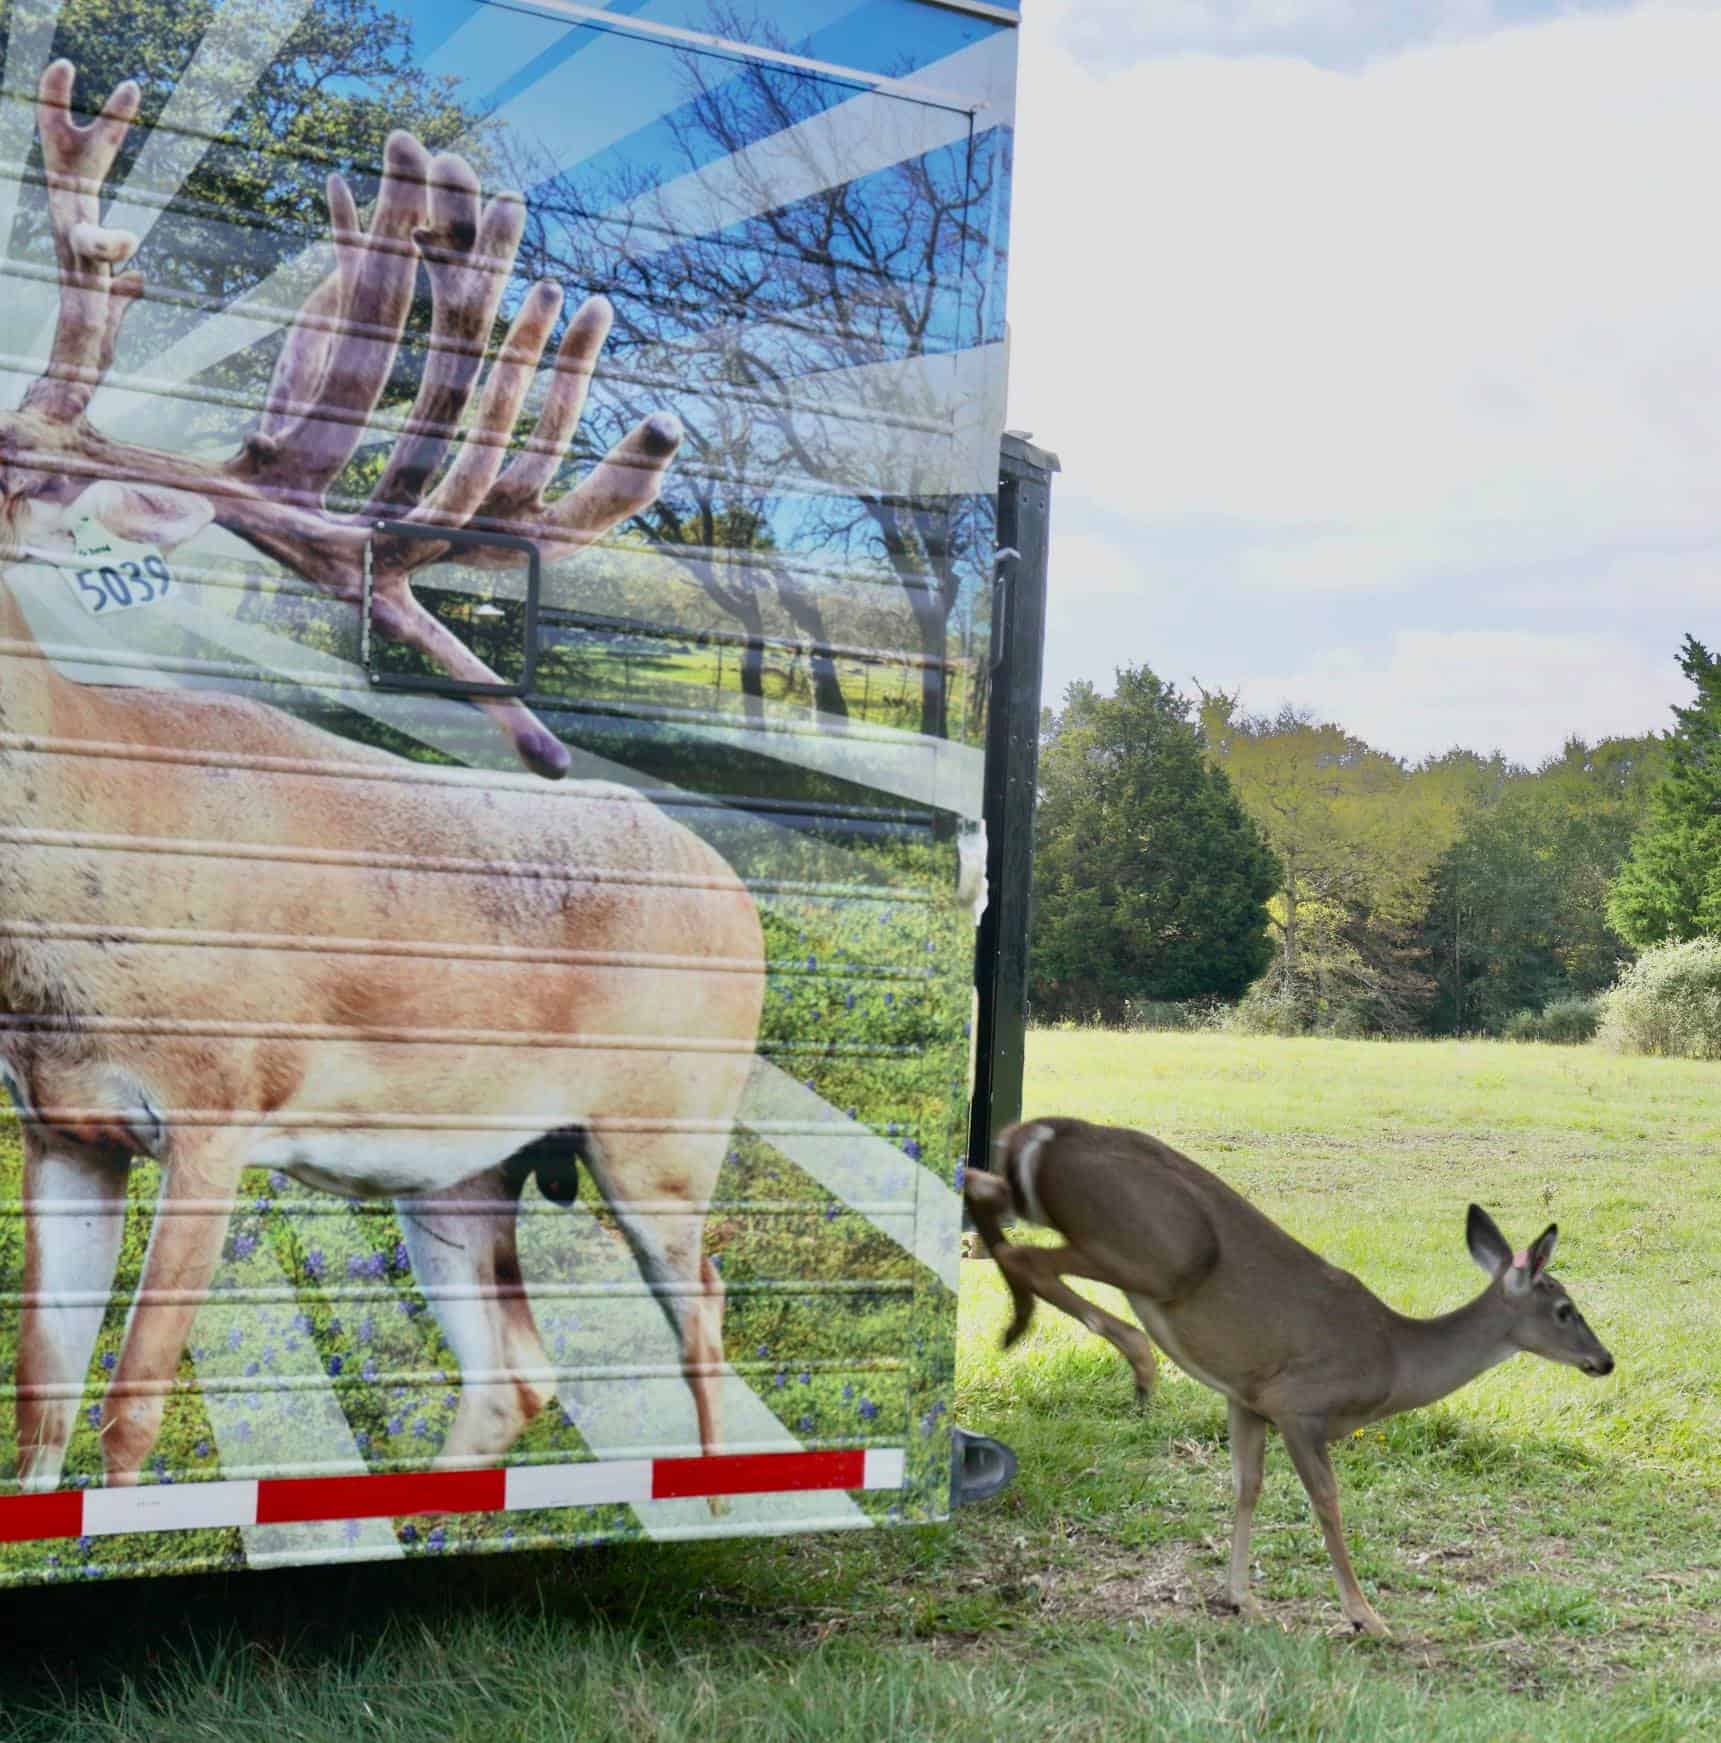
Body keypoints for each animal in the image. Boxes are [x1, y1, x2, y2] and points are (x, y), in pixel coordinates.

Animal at [1, 62, 765, 1495]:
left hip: (664, 1130)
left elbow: (130, 1405)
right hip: (465, 1164)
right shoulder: (58, 1123)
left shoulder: (220, 1103)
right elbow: (40, 1400)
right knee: (516, 1371)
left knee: (704, 1315)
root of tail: (734, 890)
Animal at [965, 1117, 1616, 1638]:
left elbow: (1245, 1485)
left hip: (1069, 1214)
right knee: (1024, 1255)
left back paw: (1026, 1324)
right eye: (1565, 1309)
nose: (1604, 1360)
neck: (1395, 1359)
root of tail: (1048, 1131)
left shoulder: (1247, 1398)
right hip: (1160, 1250)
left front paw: (1240, 1598)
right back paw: (1127, 1354)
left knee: (981, 1191)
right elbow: (1326, 1500)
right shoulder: (1298, 1405)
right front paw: (1367, 1617)